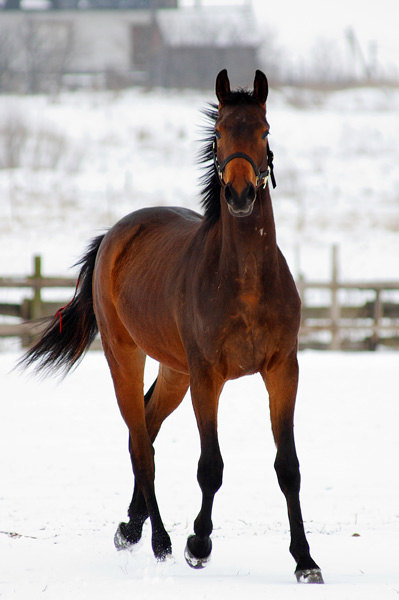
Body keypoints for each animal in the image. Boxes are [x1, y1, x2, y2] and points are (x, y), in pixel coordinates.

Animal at [20, 69, 324, 580]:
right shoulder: (207, 377)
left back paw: (131, 526)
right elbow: (211, 466)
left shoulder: (283, 370)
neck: (245, 280)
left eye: (264, 132)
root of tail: (114, 235)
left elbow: (289, 467)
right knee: (142, 445)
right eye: (219, 132)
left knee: (146, 426)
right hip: (127, 358)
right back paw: (158, 539)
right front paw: (198, 544)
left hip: (174, 372)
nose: (239, 196)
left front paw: (305, 561)